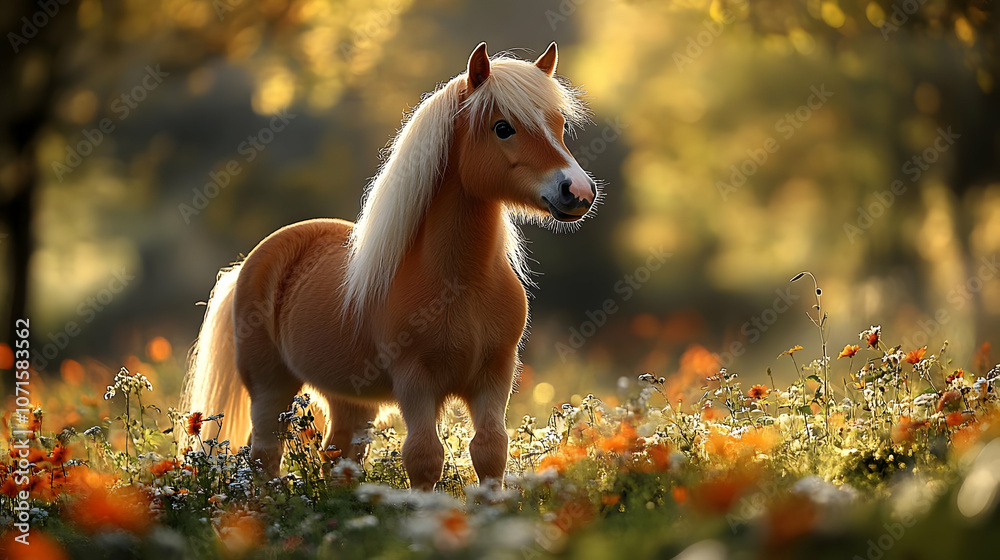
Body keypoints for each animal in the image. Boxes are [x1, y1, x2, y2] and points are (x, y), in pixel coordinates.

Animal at [180, 42, 598, 490]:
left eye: (559, 125)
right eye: (503, 128)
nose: (577, 191)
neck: (461, 282)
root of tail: (249, 264)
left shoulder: (494, 376)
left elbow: (489, 450)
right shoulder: (415, 380)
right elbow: (424, 456)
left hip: (349, 398)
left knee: (337, 457)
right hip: (270, 386)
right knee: (265, 456)